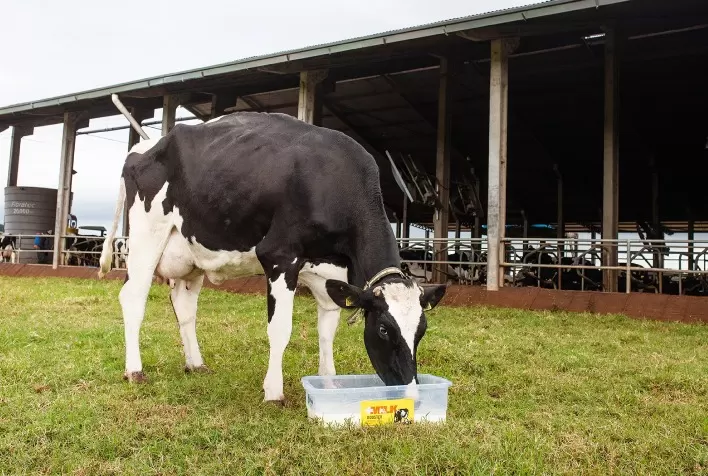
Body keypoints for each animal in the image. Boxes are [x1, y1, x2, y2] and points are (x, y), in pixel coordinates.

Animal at [97, 111, 447, 403]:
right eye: (384, 329)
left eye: (422, 330)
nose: (411, 393)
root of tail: (144, 146)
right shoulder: (280, 256)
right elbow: (280, 329)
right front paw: (274, 392)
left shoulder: (331, 272)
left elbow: (327, 331)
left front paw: (330, 384)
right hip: (146, 236)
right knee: (133, 298)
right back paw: (134, 370)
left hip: (190, 253)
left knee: (184, 308)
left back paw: (195, 364)